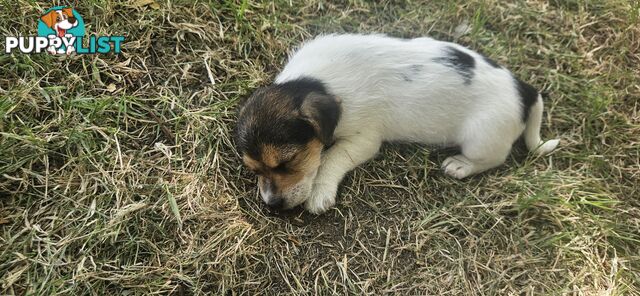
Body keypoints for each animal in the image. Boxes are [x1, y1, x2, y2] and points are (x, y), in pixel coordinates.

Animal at [236, 33, 560, 214]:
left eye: (287, 162)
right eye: (254, 170)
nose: (272, 206)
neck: (314, 82)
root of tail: (525, 91)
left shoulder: (364, 139)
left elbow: (330, 158)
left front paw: (319, 192)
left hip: (481, 138)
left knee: (494, 158)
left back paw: (460, 165)